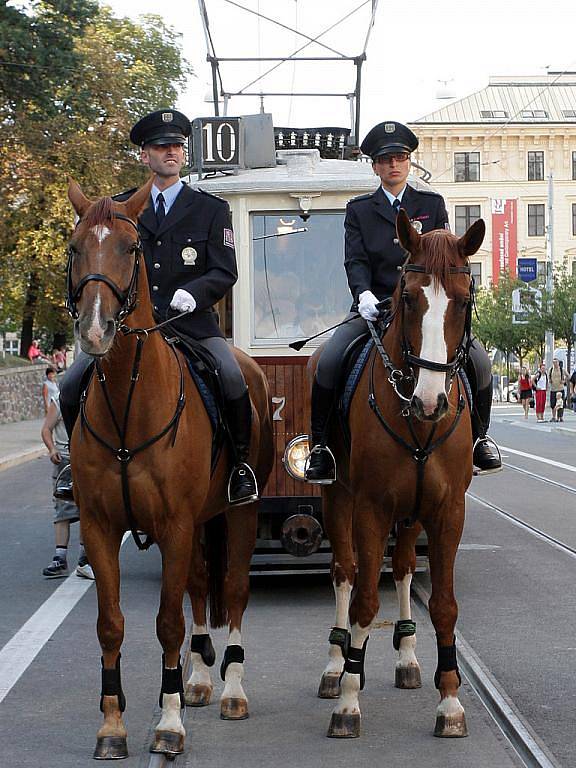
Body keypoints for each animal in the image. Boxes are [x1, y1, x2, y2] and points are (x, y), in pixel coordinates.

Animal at [67, 178, 274, 756]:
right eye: (74, 247)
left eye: (128, 248)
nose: (94, 331)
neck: (127, 400)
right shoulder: (99, 527)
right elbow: (111, 624)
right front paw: (113, 724)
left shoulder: (175, 526)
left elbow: (166, 625)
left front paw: (169, 723)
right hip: (202, 521)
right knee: (201, 586)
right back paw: (200, 680)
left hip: (238, 512)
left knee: (233, 589)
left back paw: (231, 689)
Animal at [312, 208, 484, 736]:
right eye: (407, 298)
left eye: (464, 299)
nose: (431, 401)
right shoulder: (370, 508)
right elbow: (366, 600)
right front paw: (348, 701)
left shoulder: (447, 512)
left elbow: (443, 604)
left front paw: (449, 702)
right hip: (339, 499)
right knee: (345, 573)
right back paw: (338, 664)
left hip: (411, 514)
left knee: (405, 568)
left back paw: (406, 657)